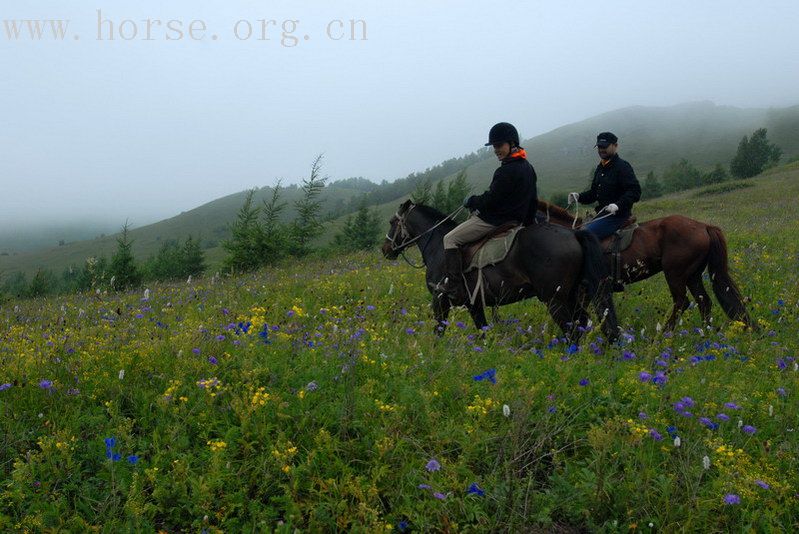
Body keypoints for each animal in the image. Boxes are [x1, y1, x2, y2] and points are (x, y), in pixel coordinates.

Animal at [384, 201, 620, 344]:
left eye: (392, 222)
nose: (385, 249)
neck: (438, 247)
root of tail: (574, 233)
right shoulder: (474, 303)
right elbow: (482, 330)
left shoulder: (440, 299)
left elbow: (438, 331)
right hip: (573, 295)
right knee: (582, 322)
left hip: (555, 299)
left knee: (572, 330)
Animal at [540, 201, 752, 330]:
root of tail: (703, 226)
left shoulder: (580, 290)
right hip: (693, 275)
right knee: (703, 302)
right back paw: (707, 333)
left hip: (675, 274)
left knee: (682, 302)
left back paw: (664, 335)